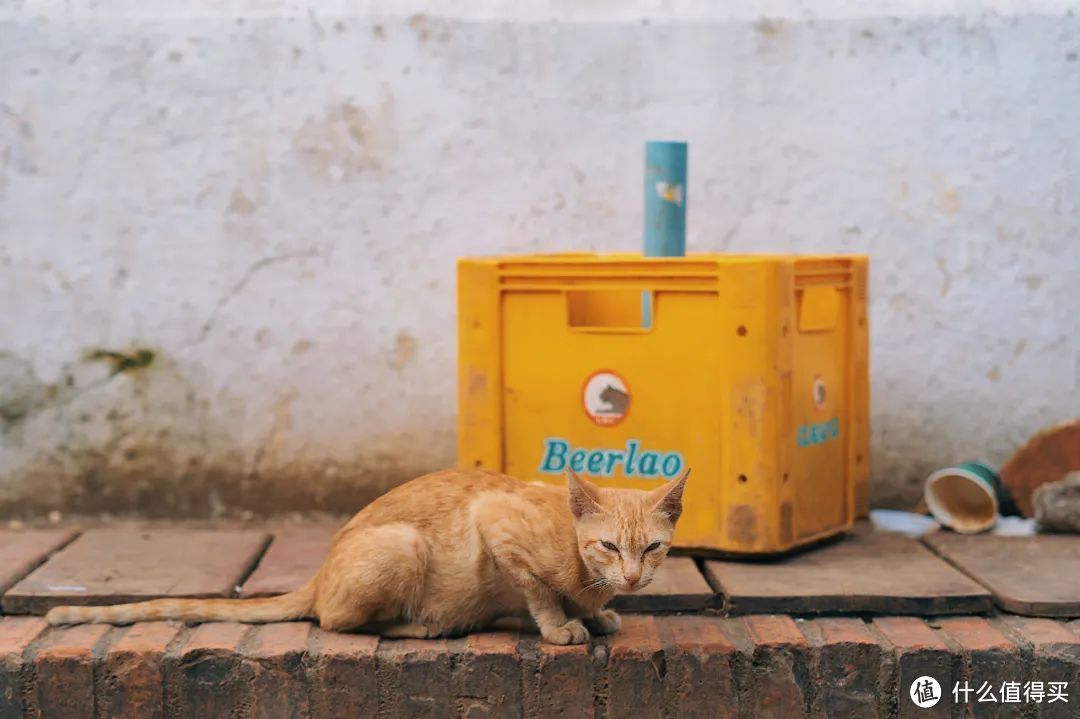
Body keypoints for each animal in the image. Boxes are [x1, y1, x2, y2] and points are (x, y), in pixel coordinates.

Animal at [46, 464, 686, 643]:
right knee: (336, 621)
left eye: (652, 549)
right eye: (608, 546)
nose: (632, 578)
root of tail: (320, 571)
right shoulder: (496, 522)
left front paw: (597, 615)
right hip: (401, 547)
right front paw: (561, 625)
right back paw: (422, 627)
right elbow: (539, 591)